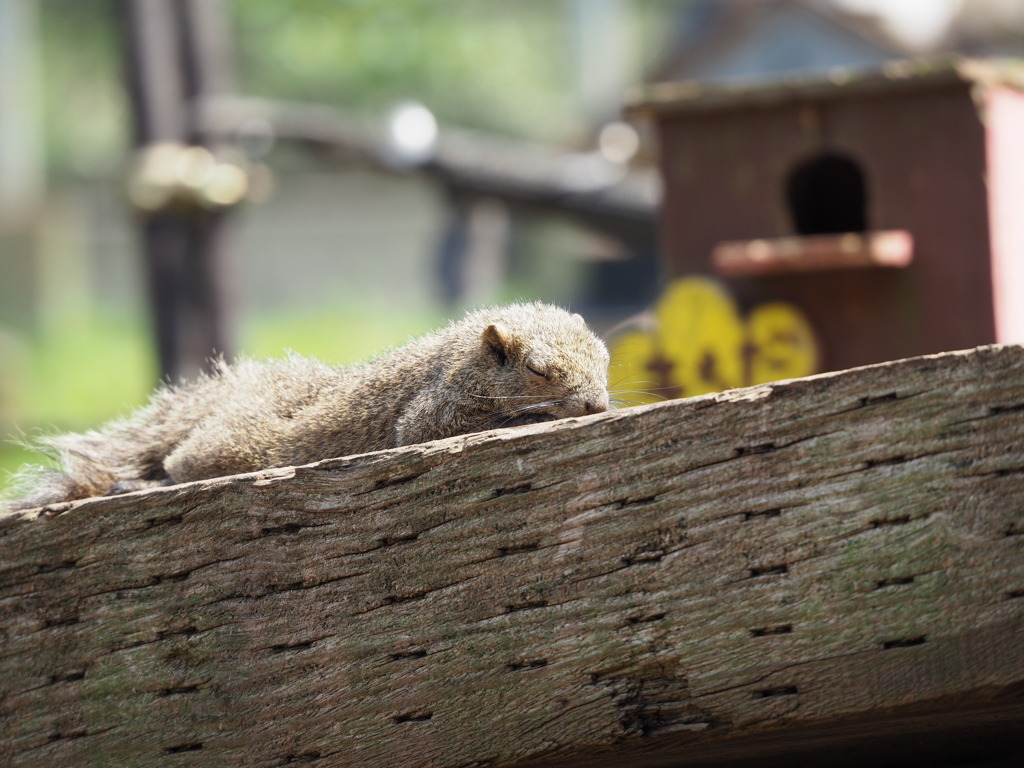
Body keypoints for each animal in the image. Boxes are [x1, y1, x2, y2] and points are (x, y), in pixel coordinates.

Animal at [2, 303, 606, 514]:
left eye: (603, 358)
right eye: (538, 370)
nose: (597, 404)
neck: (467, 359)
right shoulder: (433, 411)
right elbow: (423, 429)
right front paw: (537, 414)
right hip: (236, 446)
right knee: (180, 464)